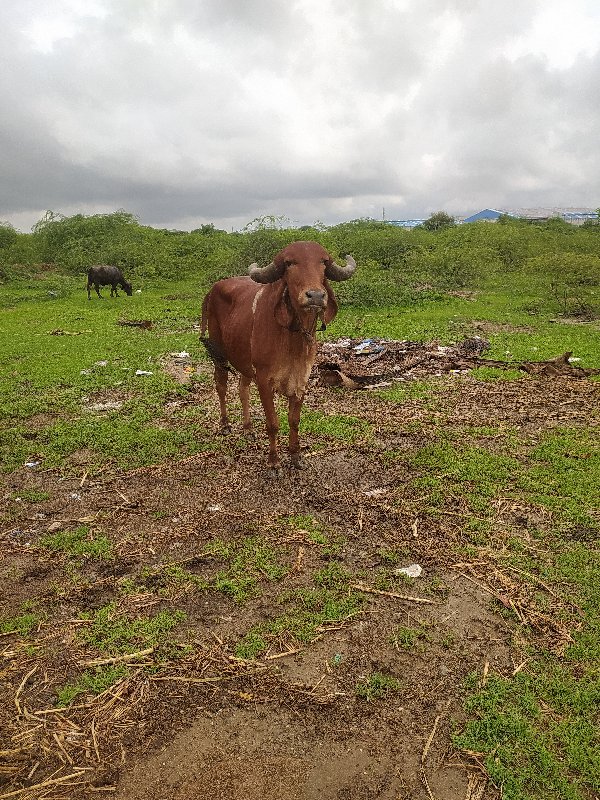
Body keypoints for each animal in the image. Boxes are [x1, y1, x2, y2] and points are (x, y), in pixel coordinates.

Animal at [200, 241, 356, 472]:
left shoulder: (301, 379)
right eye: (289, 263)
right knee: (221, 385)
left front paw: (295, 456)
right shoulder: (265, 381)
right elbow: (273, 423)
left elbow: (294, 420)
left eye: (323, 262)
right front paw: (273, 463)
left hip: (245, 362)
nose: (316, 296)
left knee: (242, 389)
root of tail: (213, 290)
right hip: (219, 353)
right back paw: (225, 424)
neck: (293, 336)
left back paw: (248, 428)